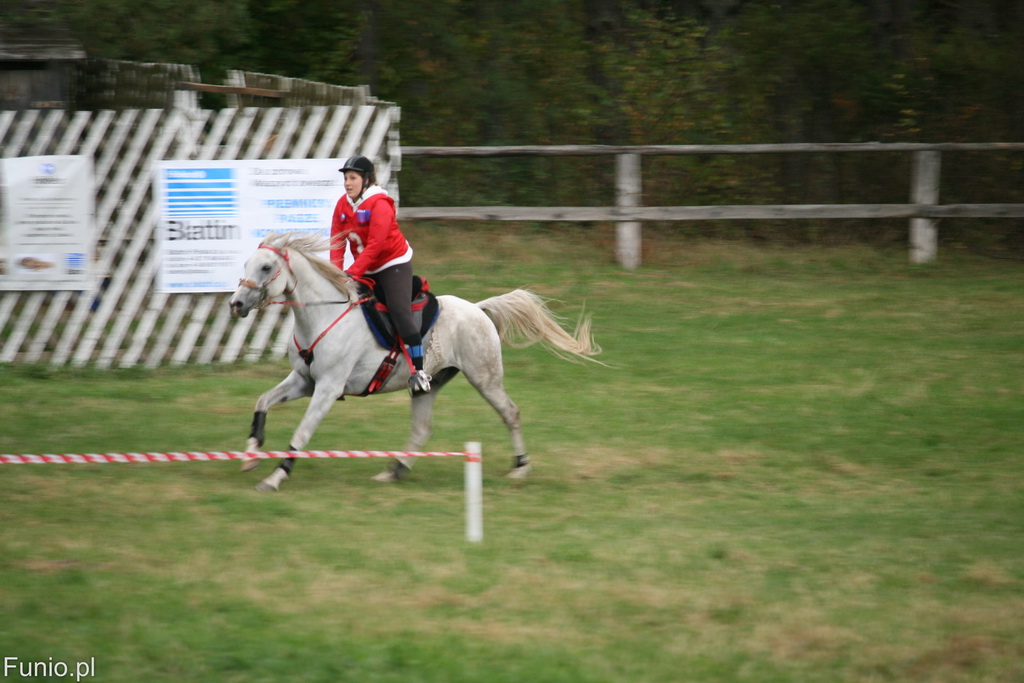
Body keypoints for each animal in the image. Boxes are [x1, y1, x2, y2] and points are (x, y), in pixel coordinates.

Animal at [228, 232, 602, 492]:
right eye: (244, 265)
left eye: (266, 267)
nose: (236, 304)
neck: (324, 316)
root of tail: (478, 309)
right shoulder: (304, 381)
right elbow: (262, 401)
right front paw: (250, 454)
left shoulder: (328, 388)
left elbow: (302, 432)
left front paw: (275, 478)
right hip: (431, 385)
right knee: (422, 429)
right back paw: (394, 470)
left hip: (485, 378)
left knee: (511, 413)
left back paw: (521, 466)